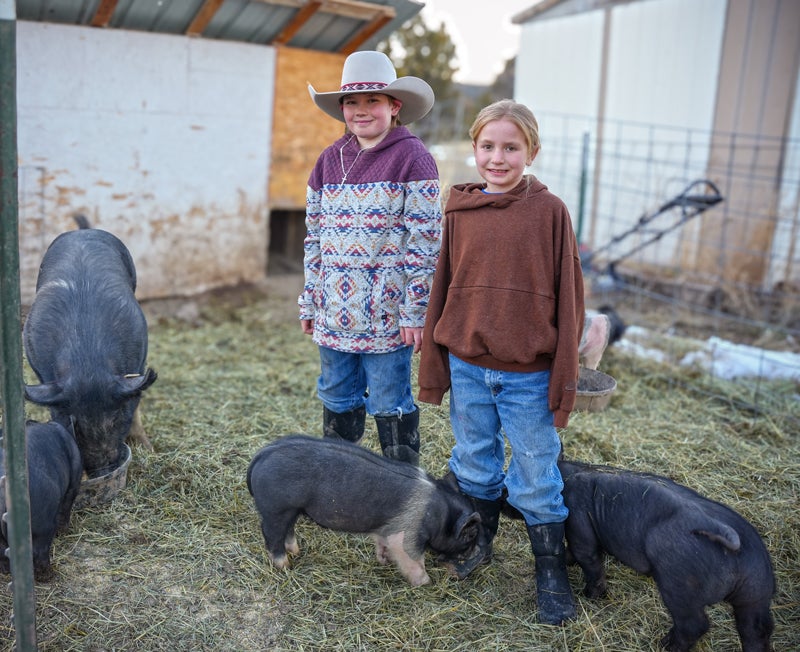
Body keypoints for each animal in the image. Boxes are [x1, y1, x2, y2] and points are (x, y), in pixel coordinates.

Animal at [23, 229, 158, 478]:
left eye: (117, 419)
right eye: (73, 423)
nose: (101, 469)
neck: (87, 362)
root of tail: (82, 231)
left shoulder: (138, 364)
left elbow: (136, 407)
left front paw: (148, 448)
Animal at [245, 436, 482, 588]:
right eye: (469, 535)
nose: (474, 553)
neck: (440, 514)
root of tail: (261, 454)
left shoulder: (386, 529)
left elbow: (383, 544)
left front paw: (384, 561)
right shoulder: (408, 533)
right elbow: (411, 557)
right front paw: (426, 583)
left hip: (291, 510)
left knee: (288, 531)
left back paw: (296, 552)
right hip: (276, 509)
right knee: (272, 538)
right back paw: (285, 566)